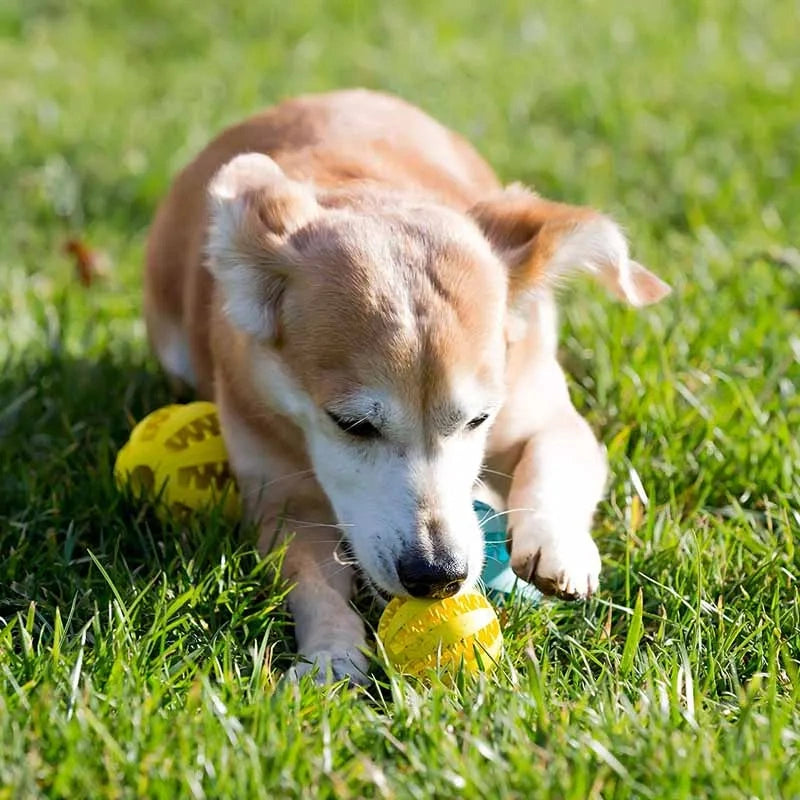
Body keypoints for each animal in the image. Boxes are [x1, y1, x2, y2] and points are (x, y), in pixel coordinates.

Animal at [144, 90, 668, 684]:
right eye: (351, 424)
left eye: (479, 419)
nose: (438, 575)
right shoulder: (282, 499)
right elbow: (310, 579)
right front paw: (330, 651)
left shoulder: (544, 411)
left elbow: (554, 454)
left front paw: (557, 546)